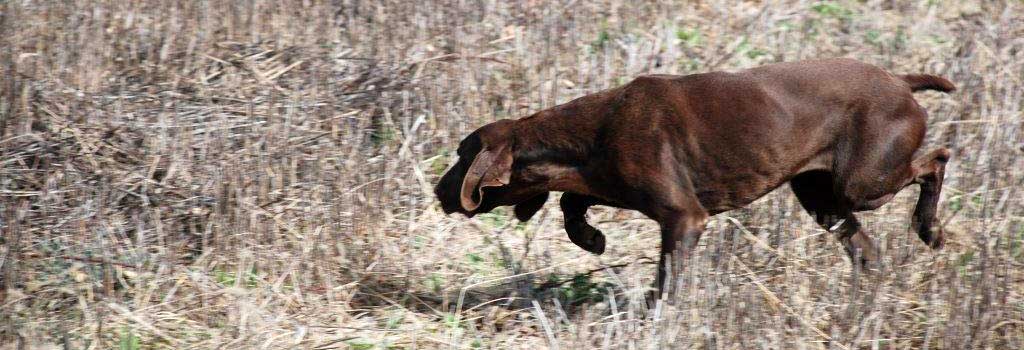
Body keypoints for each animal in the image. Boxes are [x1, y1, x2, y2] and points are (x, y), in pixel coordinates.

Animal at [432, 58, 950, 298]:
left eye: (461, 155)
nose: (438, 192)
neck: (594, 132)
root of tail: (900, 80)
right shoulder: (606, 184)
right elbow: (569, 201)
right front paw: (591, 239)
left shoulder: (683, 219)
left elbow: (666, 283)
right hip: (822, 198)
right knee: (865, 250)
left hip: (863, 183)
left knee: (937, 159)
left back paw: (930, 229)